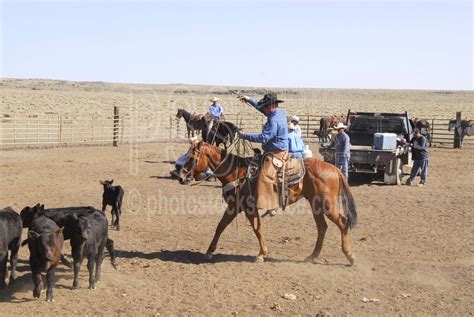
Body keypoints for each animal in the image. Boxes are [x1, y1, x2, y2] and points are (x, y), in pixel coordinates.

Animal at [180, 141, 358, 264]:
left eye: (192, 158)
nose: (180, 177)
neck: (237, 172)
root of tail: (335, 169)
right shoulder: (234, 206)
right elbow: (221, 226)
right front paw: (210, 251)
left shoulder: (249, 208)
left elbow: (257, 228)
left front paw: (261, 254)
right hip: (316, 205)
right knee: (322, 227)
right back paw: (312, 256)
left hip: (327, 205)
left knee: (342, 223)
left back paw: (350, 256)